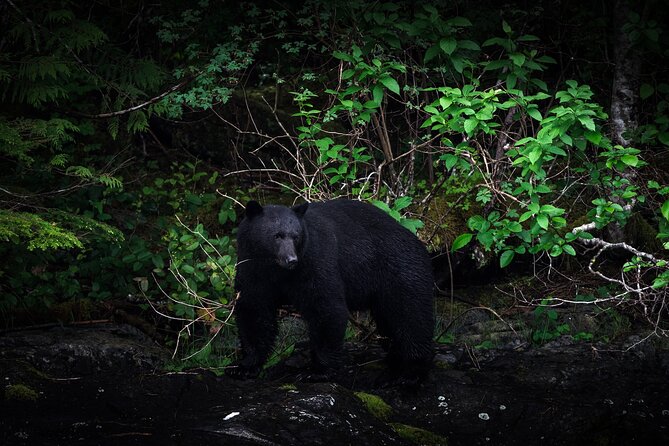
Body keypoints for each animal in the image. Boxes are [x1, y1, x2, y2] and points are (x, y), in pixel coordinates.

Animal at [232, 199, 436, 380]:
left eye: (296, 236)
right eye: (277, 235)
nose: (291, 259)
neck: (276, 269)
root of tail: (419, 242)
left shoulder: (314, 259)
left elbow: (325, 306)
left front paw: (318, 371)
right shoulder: (251, 267)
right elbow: (254, 309)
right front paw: (246, 366)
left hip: (401, 272)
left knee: (411, 317)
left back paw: (413, 371)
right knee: (390, 323)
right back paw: (395, 361)